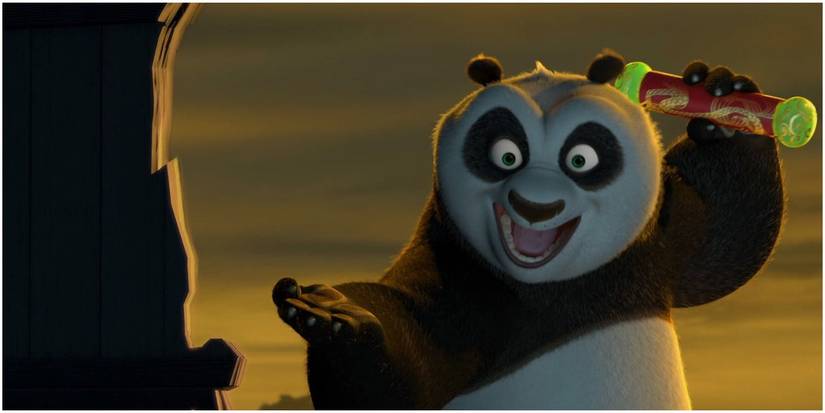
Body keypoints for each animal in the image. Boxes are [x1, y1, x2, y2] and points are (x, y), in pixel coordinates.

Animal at [271, 50, 784, 409]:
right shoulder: (457, 279)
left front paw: (722, 101)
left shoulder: (650, 249)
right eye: (505, 154)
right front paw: (338, 316)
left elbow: (721, 239)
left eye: (581, 159)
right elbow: (406, 373)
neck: (548, 287)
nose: (535, 206)